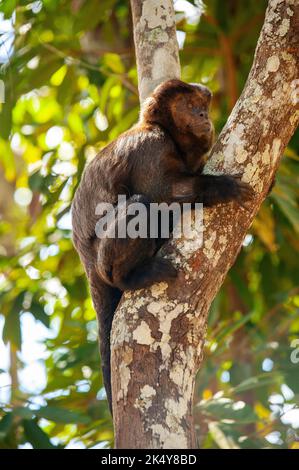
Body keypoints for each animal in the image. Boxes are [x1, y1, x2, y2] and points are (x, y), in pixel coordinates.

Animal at [71, 79, 254, 414]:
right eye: (188, 105)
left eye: (202, 106)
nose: (202, 115)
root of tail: (87, 262)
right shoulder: (152, 146)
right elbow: (161, 193)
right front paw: (220, 187)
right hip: (105, 259)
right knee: (141, 205)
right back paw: (131, 277)